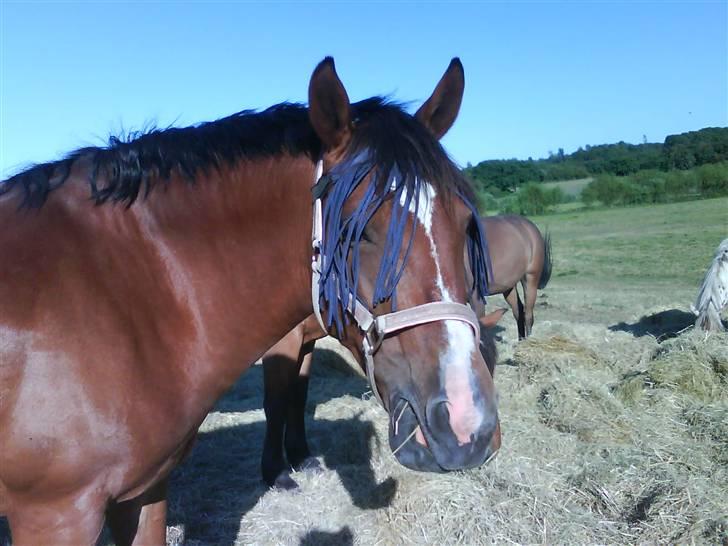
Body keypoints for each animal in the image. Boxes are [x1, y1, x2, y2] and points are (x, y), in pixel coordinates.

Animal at [0, 57, 498, 540]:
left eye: (464, 223)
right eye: (358, 232)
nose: (467, 425)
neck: (122, 295)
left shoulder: (143, 494)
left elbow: (298, 393)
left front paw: (300, 458)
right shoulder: (58, 515)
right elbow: (278, 399)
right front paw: (278, 473)